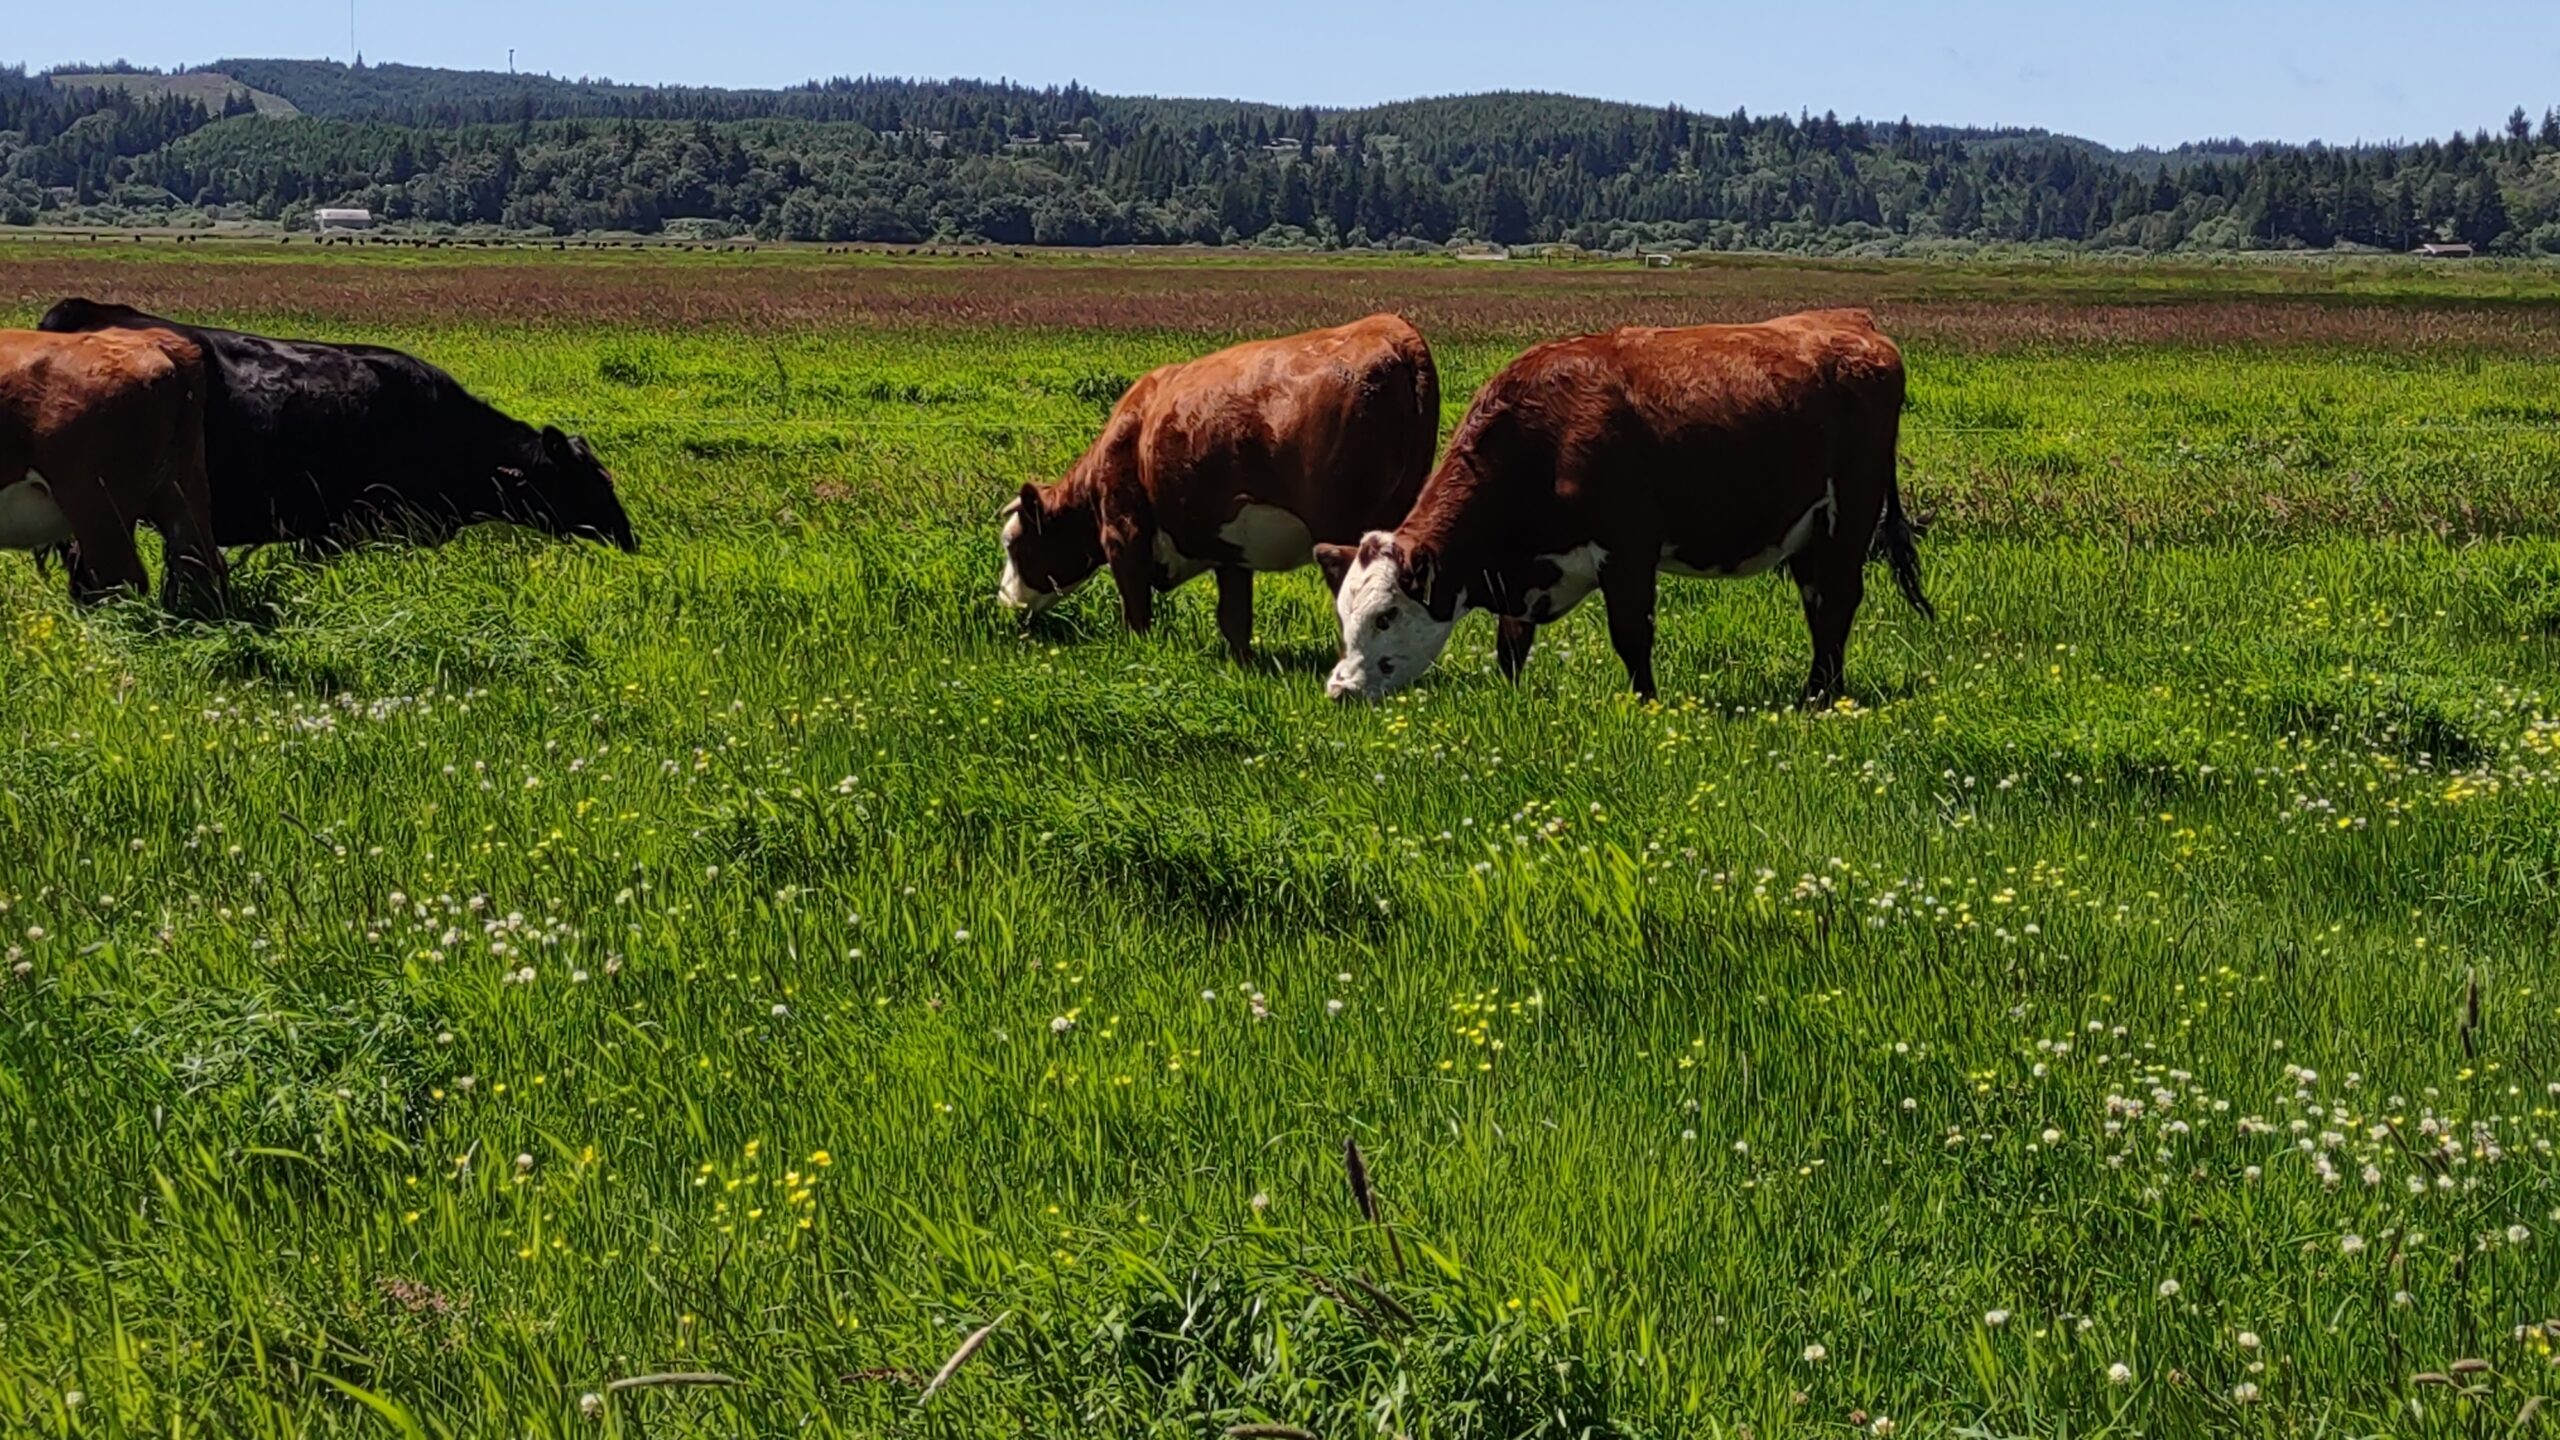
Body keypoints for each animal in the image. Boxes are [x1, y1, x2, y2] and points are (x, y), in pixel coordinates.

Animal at [998, 311, 1443, 661]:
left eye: (1014, 543)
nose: (1005, 601)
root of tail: (1388, 329)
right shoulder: (1230, 548)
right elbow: (1234, 616)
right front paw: (1242, 664)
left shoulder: (1123, 532)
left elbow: (1136, 608)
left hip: (1342, 527)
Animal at [1310, 307, 1925, 702]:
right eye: (1344, 613)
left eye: (1386, 615)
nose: (1339, 690)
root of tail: (1852, 322)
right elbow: (1511, 641)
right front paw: (1510, 701)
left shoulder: (1627, 547)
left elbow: (1631, 635)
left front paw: (1645, 705)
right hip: (1807, 527)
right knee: (1818, 602)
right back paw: (1822, 688)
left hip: (1851, 513)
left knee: (1837, 600)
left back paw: (1820, 698)